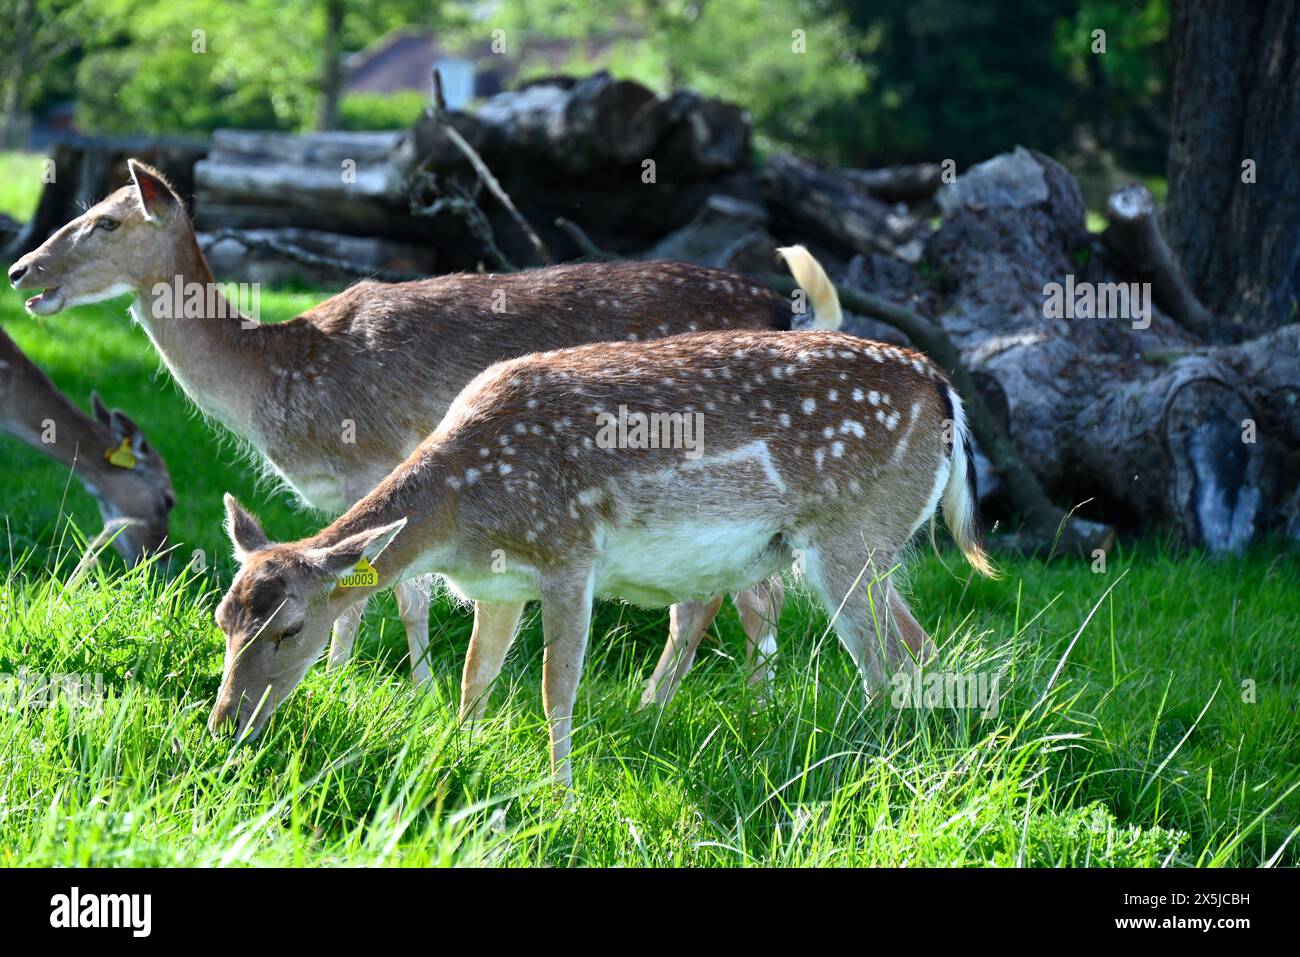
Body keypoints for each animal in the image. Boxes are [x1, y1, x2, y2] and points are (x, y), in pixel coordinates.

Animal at [208, 328, 995, 785]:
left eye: (290, 629)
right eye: (222, 620)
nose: (224, 723)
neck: (466, 511)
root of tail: (944, 389)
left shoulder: (567, 553)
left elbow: (556, 687)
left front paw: (559, 793)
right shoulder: (499, 586)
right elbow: (474, 679)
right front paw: (450, 760)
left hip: (851, 532)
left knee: (890, 660)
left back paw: (874, 765)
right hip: (863, 543)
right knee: (916, 649)